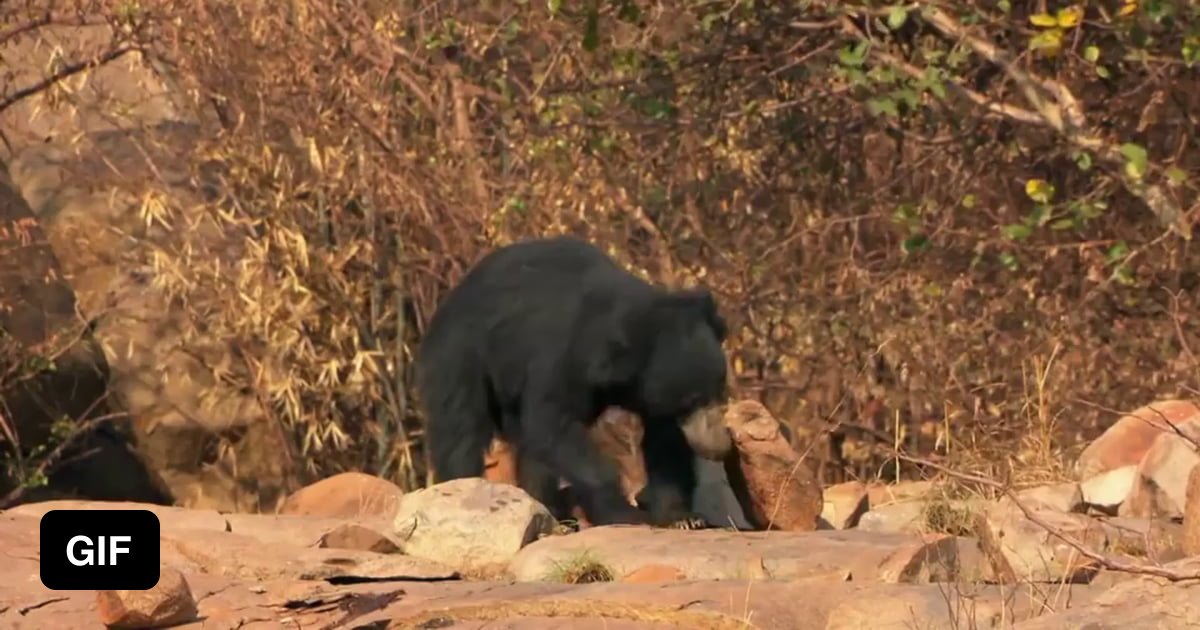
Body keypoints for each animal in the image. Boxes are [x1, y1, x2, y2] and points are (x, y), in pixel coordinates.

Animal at [412, 234, 729, 525]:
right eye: (691, 401)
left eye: (719, 391)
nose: (719, 445)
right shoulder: (560, 358)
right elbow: (553, 422)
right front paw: (627, 513)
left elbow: (666, 443)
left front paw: (683, 517)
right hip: (462, 353)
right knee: (461, 429)